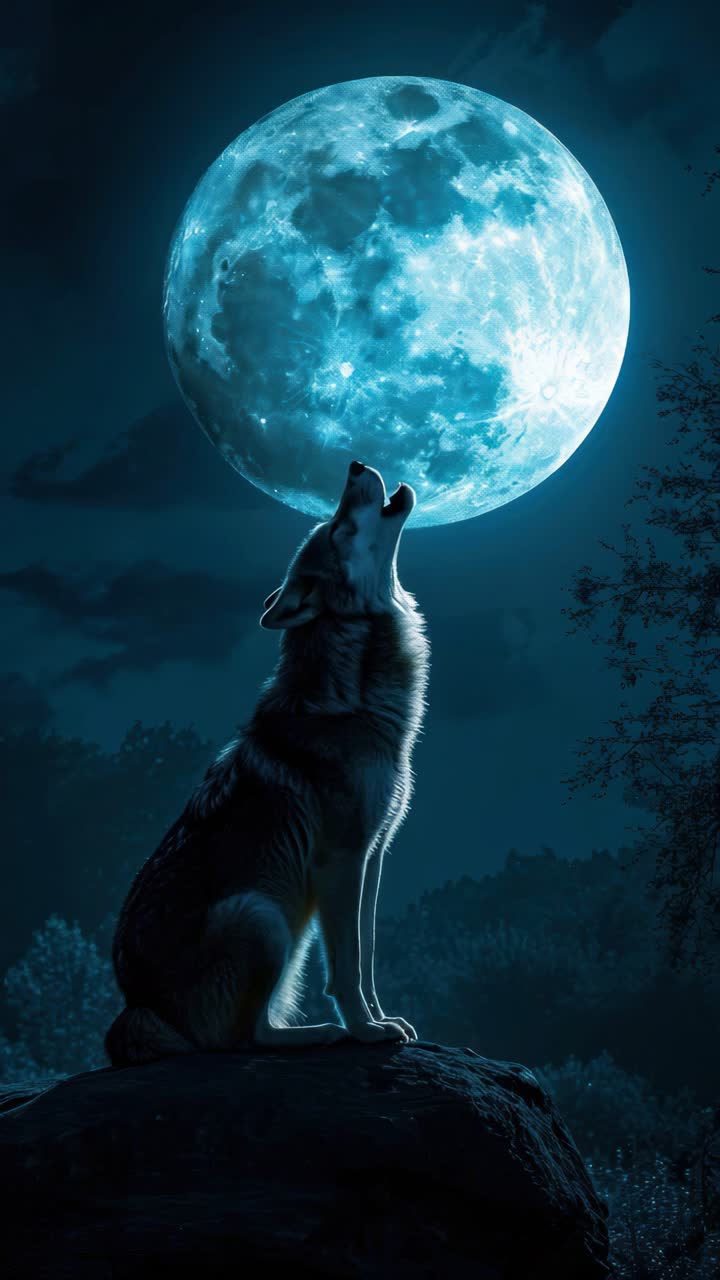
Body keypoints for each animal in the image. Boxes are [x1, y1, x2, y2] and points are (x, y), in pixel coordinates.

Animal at [105, 461, 429, 1064]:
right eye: (337, 528)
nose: (354, 465)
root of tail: (139, 1006)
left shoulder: (373, 855)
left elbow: (368, 954)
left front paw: (382, 1019)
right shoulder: (341, 859)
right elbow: (346, 968)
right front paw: (365, 1031)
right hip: (261, 916)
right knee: (243, 1041)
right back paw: (321, 1034)